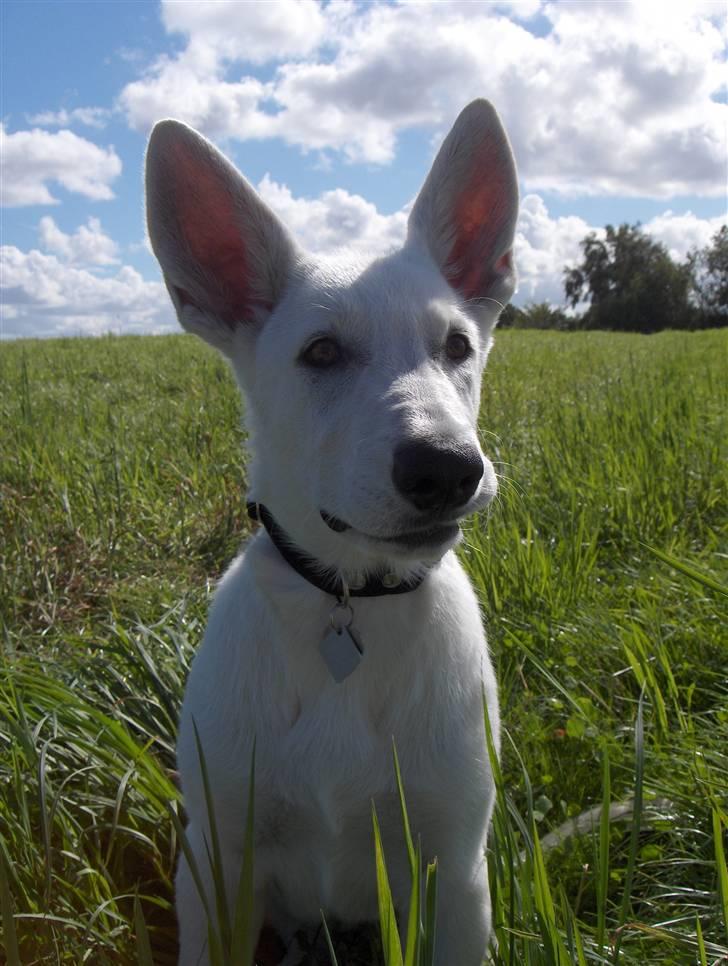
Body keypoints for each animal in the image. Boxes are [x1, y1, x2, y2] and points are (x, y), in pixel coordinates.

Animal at [144, 100, 516, 966]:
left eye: (458, 346)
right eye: (321, 352)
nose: (448, 467)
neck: (349, 598)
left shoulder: (457, 874)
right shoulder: (216, 863)